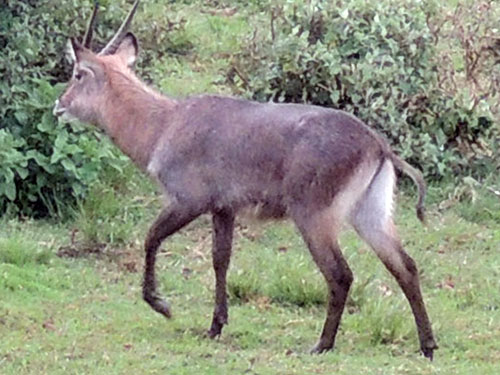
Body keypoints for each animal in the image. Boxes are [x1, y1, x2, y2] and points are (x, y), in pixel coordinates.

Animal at [53, 0, 438, 358]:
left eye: (77, 73)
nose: (58, 106)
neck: (164, 123)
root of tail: (378, 144)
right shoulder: (224, 208)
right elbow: (220, 259)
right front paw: (215, 326)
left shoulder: (188, 201)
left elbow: (151, 238)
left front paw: (162, 305)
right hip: (370, 213)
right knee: (405, 266)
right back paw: (428, 345)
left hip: (315, 217)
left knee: (341, 274)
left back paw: (322, 345)